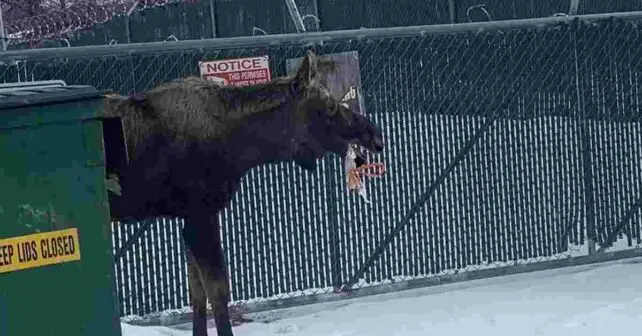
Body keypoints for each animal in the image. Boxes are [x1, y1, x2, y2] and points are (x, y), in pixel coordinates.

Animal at [102, 50, 382, 336]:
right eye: (330, 106)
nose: (374, 134)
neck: (242, 148)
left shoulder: (190, 217)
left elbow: (197, 291)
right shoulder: (201, 214)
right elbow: (218, 290)